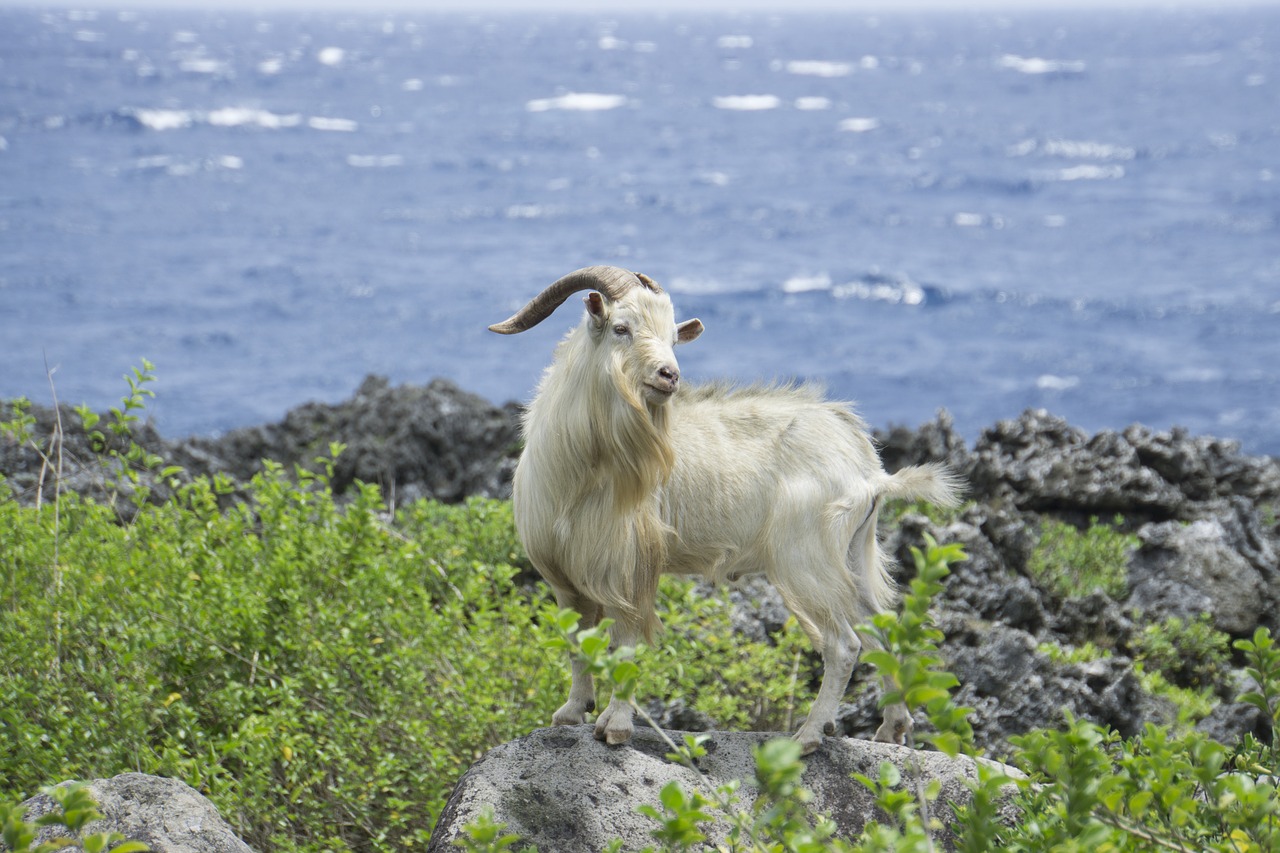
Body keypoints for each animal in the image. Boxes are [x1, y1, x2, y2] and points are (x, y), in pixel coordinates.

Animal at [488, 263, 962, 753]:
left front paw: (614, 726)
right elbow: (579, 642)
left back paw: (809, 735)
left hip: (806, 561)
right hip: (851, 554)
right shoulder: (564, 575)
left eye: (672, 337)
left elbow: (625, 642)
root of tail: (870, 469)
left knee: (844, 644)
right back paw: (891, 729)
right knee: (881, 632)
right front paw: (570, 712)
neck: (581, 466)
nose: (669, 375)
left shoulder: (630, 566)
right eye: (622, 328)